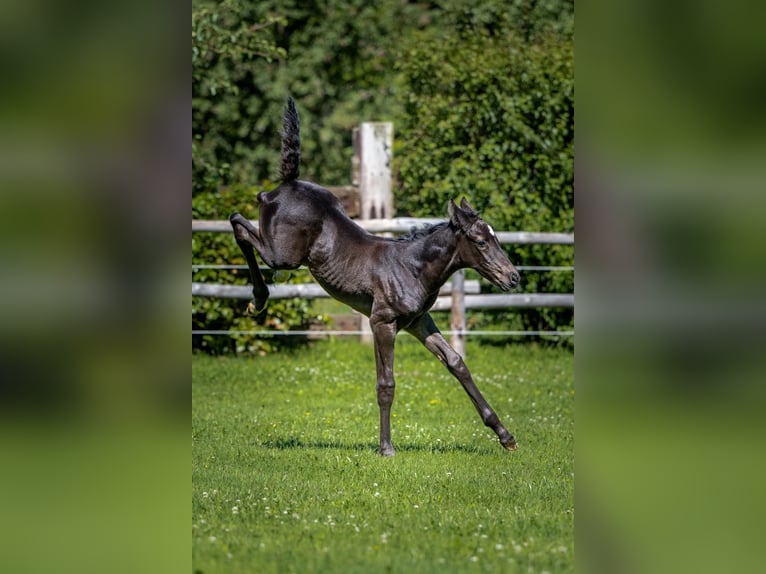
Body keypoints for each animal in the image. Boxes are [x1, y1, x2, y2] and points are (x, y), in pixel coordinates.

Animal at [231, 99, 524, 460]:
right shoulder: (382, 322)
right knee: (239, 223)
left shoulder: (418, 321)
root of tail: (289, 183)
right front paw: (386, 448)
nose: (513, 277)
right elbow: (387, 383)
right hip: (282, 254)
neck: (411, 267)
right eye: (481, 242)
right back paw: (258, 298)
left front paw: (505, 435)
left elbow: (457, 362)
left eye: (495, 238)